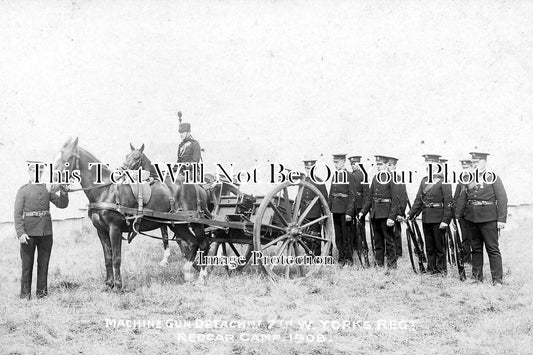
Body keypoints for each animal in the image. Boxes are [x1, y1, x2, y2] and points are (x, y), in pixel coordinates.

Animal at [51, 138, 210, 290]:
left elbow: (116, 258)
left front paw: (118, 286)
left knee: (204, 243)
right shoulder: (101, 231)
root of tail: (199, 186)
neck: (105, 190)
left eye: (67, 158)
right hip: (177, 224)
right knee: (192, 242)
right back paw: (188, 273)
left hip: (195, 223)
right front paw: (108, 285)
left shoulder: (114, 229)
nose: (52, 186)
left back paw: (201, 278)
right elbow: (108, 258)